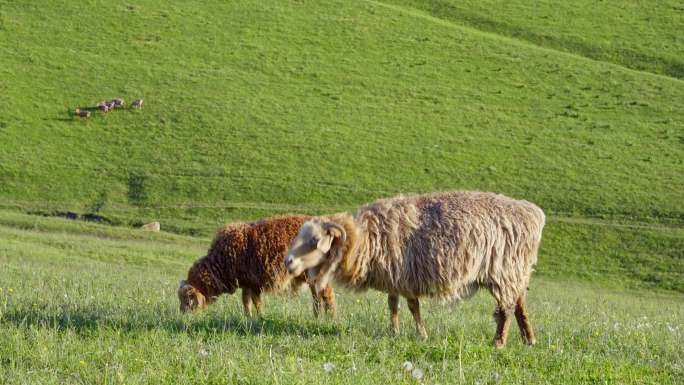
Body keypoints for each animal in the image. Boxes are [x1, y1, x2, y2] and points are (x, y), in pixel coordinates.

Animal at [178, 214, 336, 316]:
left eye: (188, 300)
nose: (183, 317)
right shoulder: (246, 283)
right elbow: (246, 302)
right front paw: (248, 318)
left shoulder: (254, 283)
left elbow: (257, 303)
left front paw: (261, 318)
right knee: (317, 296)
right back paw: (318, 317)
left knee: (327, 295)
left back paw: (330, 317)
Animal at [284, 190, 544, 346]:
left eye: (314, 240)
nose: (288, 261)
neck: (365, 240)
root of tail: (533, 213)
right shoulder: (394, 278)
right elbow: (393, 304)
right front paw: (394, 331)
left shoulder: (405, 275)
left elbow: (412, 307)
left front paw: (421, 334)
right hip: (514, 271)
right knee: (519, 303)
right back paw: (529, 340)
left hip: (504, 270)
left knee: (506, 309)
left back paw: (498, 342)